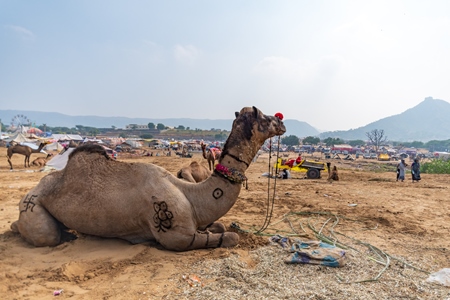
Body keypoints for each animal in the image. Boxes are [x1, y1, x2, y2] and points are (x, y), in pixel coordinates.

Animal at [11, 106, 284, 252]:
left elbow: (219, 227)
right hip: (33, 203)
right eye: (264, 117)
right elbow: (231, 237)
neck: (191, 196)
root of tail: (32, 190)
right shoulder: (176, 236)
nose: (282, 122)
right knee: (47, 236)